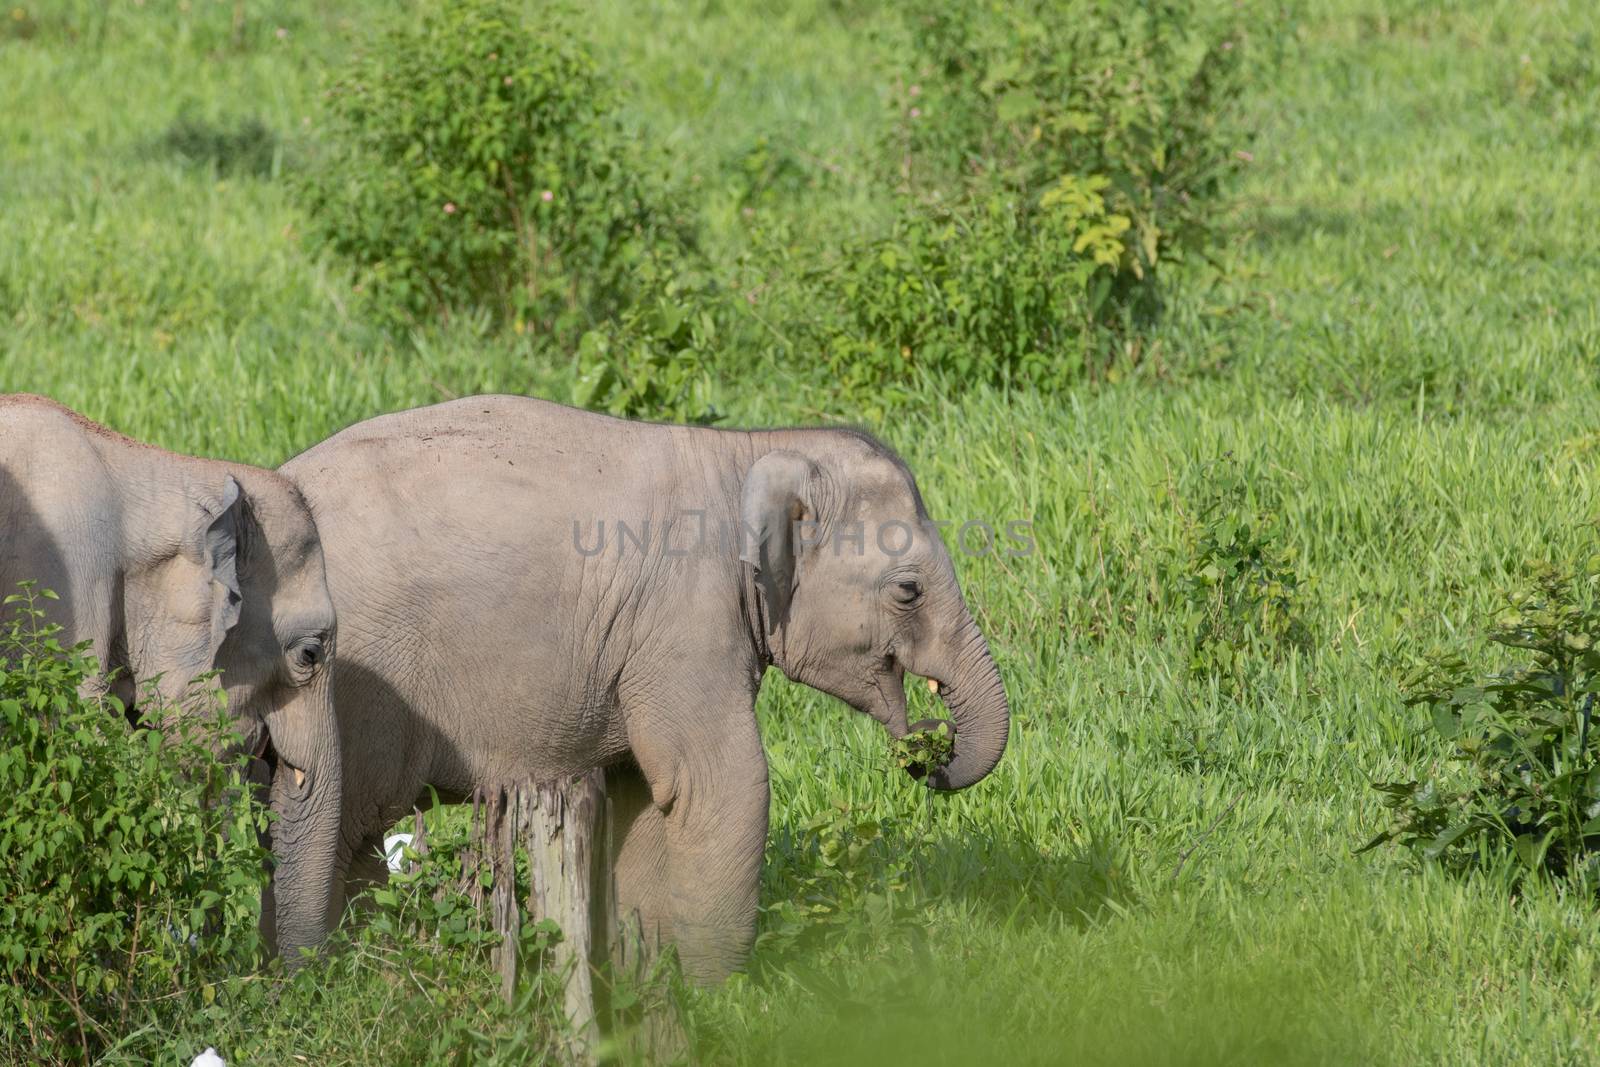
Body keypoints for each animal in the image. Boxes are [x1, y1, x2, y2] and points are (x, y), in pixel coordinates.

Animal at [284, 395, 1011, 985]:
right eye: (908, 589)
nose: (929, 748)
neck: (749, 451)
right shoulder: (685, 622)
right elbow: (723, 783)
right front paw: (722, 1000)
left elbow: (642, 795)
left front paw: (649, 974)